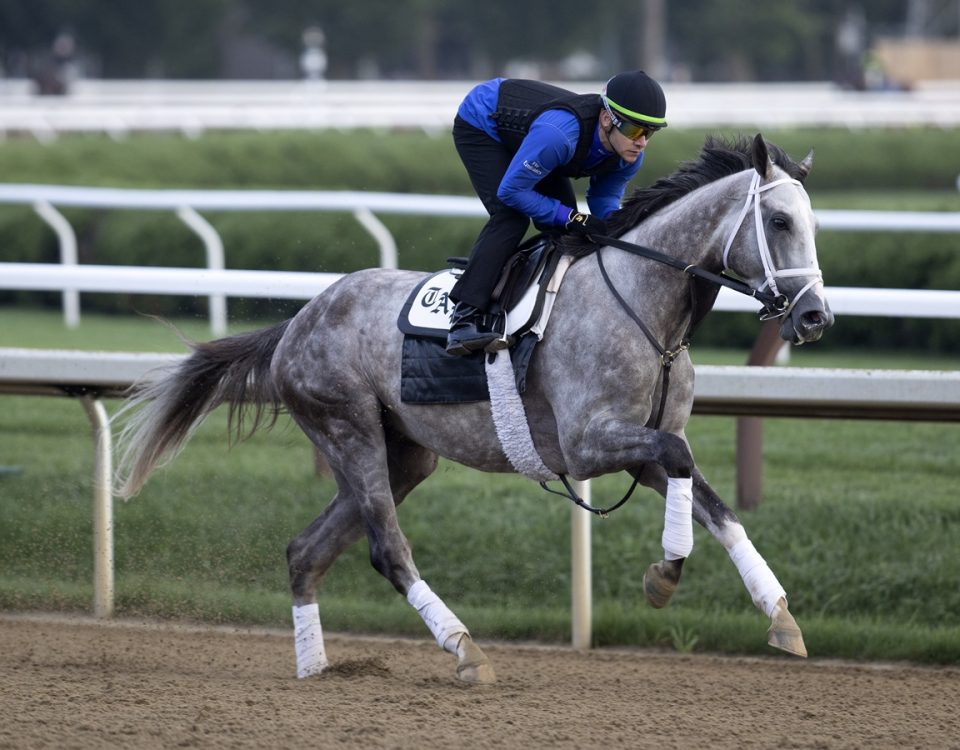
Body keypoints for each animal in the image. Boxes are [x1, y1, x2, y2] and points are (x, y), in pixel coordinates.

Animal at [114, 132, 832, 684]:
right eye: (779, 222)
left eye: (814, 224)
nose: (815, 316)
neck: (644, 306)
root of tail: (297, 322)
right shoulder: (588, 443)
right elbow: (682, 464)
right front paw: (665, 575)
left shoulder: (641, 447)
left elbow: (716, 505)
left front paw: (779, 616)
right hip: (348, 427)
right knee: (387, 550)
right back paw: (464, 650)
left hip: (402, 455)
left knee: (305, 550)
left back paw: (315, 667)